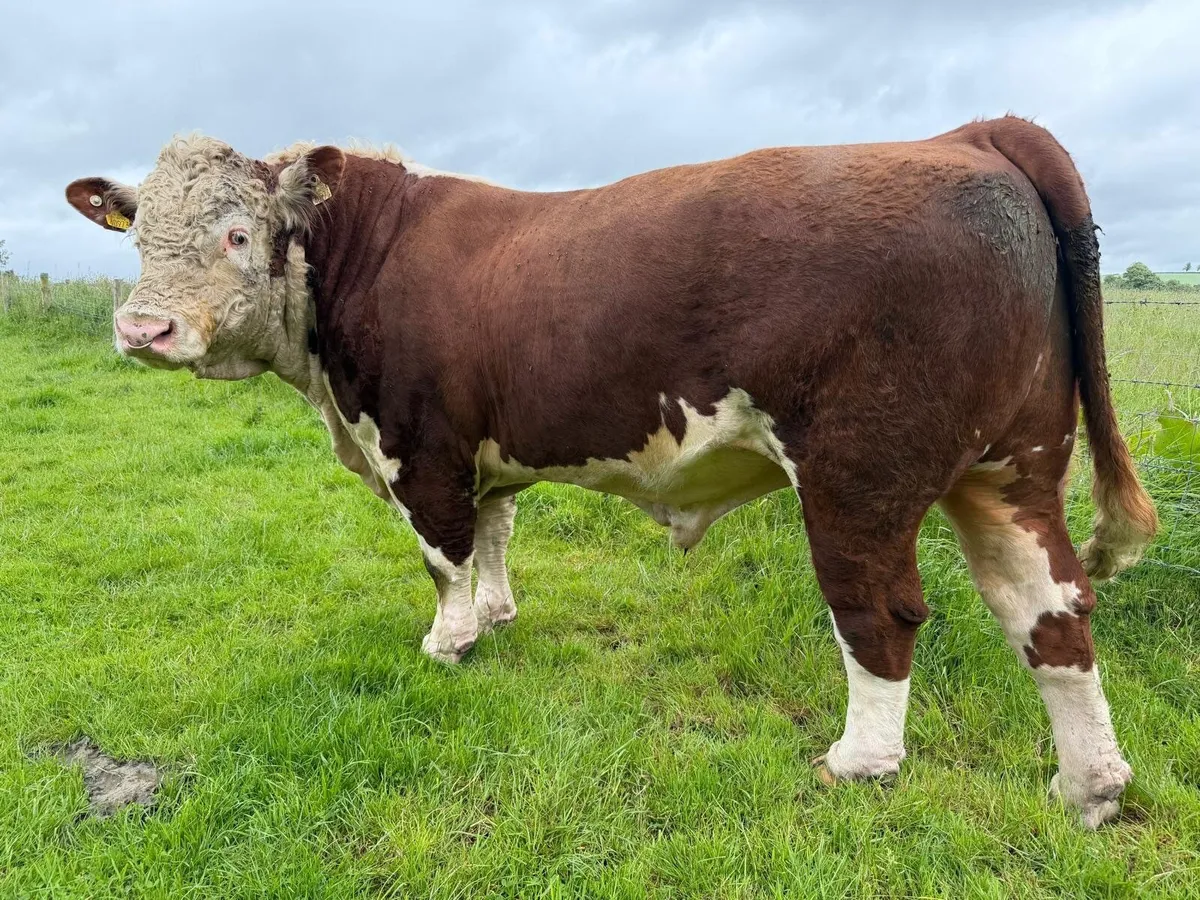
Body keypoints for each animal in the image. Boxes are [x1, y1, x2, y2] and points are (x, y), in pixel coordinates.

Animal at [66, 116, 1157, 827]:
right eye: (140, 234)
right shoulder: (489, 451)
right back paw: (1089, 787)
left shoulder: (420, 444)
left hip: (859, 472)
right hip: (1013, 465)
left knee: (881, 613)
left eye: (236, 232)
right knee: (1051, 611)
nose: (143, 329)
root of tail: (967, 135)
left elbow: (443, 553)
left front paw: (450, 641)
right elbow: (495, 532)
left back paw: (859, 762)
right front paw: (499, 617)